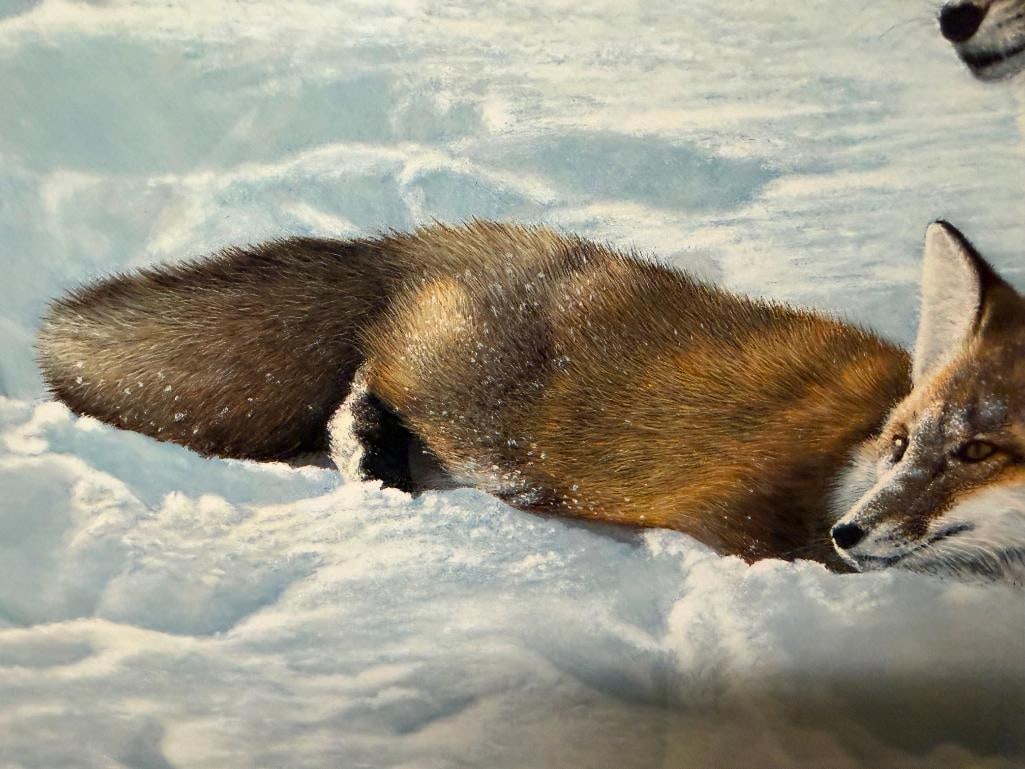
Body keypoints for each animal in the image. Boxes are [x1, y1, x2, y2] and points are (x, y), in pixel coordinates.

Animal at [36, 220, 1025, 580]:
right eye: (900, 443)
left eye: (976, 450)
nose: (849, 530)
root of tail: (431, 239)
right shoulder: (744, 513)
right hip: (495, 428)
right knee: (369, 383)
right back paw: (370, 458)